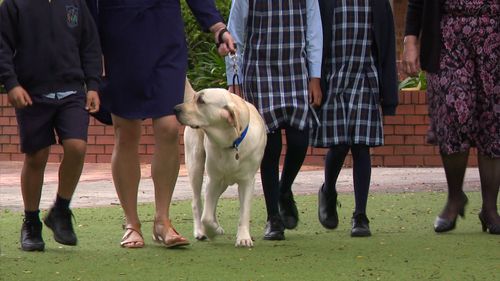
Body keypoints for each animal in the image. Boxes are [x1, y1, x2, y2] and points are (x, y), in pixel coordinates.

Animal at [174, 80, 266, 246]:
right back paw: (200, 231)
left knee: (213, 202)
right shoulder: (213, 179)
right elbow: (206, 217)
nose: (175, 109)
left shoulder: (247, 181)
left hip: (222, 181)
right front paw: (212, 231)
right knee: (197, 203)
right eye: (196, 99)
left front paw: (243, 238)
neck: (231, 142)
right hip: (195, 165)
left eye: (201, 101)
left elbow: (244, 211)